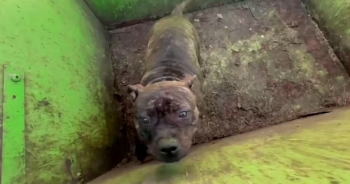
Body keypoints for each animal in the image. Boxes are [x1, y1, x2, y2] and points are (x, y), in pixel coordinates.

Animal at [128, 0, 202, 164]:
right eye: (145, 119)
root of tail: (174, 17)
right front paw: (140, 152)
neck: (165, 77)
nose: (168, 148)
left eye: (183, 114)